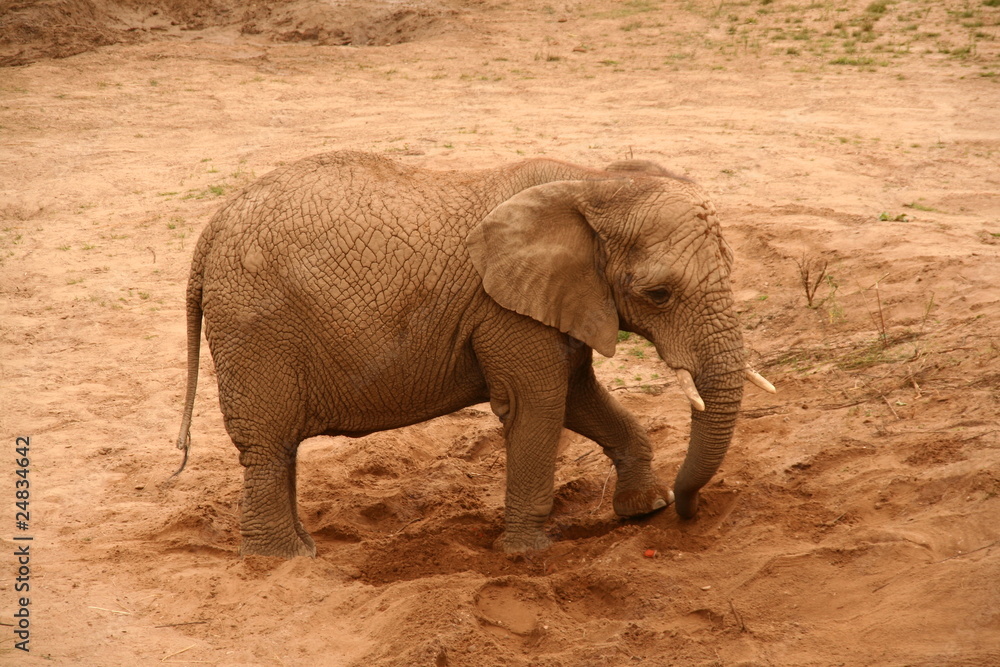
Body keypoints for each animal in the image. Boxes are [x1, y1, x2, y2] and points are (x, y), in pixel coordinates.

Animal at [175, 150, 775, 558]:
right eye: (659, 294)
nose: (690, 515)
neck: (594, 181)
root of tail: (209, 233)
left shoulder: (557, 299)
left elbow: (577, 395)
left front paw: (645, 510)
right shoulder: (504, 308)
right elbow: (539, 404)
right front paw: (529, 553)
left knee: (280, 449)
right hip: (255, 328)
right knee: (268, 446)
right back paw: (287, 560)